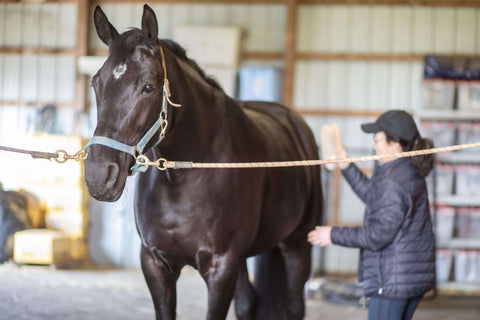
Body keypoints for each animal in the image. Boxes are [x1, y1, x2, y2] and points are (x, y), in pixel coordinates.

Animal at [84, 5, 322, 320]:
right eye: (95, 83)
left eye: (148, 86)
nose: (99, 175)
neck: (185, 178)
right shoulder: (156, 264)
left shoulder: (221, 267)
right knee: (248, 303)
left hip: (297, 245)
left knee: (294, 306)